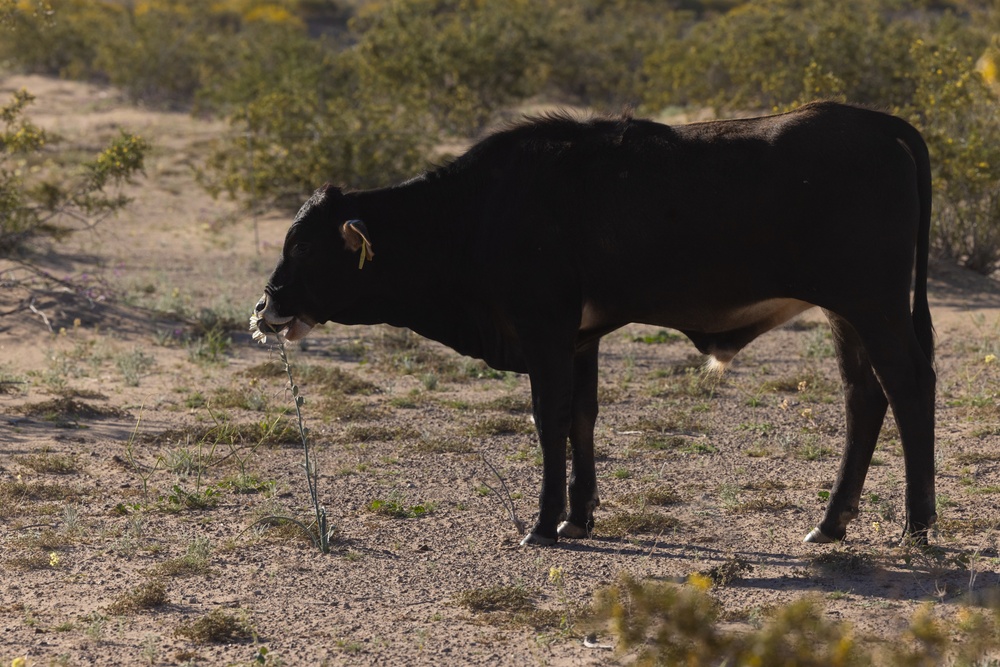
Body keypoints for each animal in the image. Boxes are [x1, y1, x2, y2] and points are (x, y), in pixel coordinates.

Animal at [254, 100, 932, 548]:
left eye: (306, 248)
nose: (265, 307)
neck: (480, 211)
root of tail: (876, 121)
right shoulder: (580, 339)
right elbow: (581, 418)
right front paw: (576, 516)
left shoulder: (544, 330)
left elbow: (548, 422)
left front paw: (542, 524)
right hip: (846, 313)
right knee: (863, 398)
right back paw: (830, 521)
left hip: (872, 306)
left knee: (907, 390)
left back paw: (917, 525)